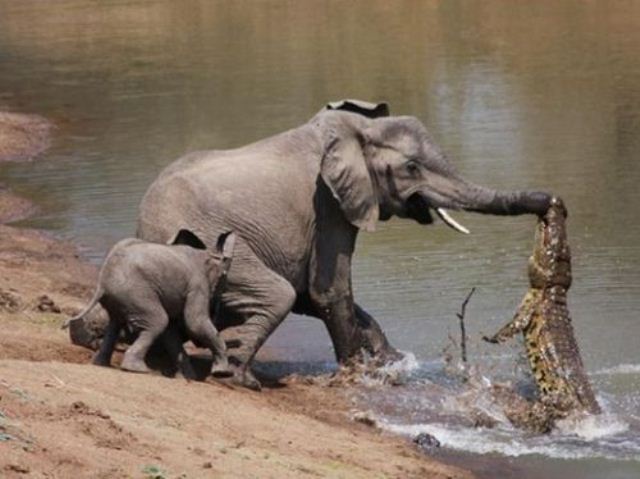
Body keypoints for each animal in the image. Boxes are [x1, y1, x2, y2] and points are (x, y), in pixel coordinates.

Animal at [63, 229, 235, 378]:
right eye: (224, 278)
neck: (209, 254)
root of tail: (102, 282)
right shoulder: (197, 286)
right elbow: (195, 324)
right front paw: (222, 373)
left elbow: (171, 333)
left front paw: (188, 378)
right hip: (136, 292)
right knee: (158, 321)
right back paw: (137, 369)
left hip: (121, 296)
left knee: (116, 323)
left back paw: (101, 364)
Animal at [138, 100, 552, 390]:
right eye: (412, 168)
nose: (550, 201)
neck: (356, 130)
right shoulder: (328, 205)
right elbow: (327, 291)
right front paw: (358, 375)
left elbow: (314, 296)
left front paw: (392, 362)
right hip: (210, 245)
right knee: (277, 294)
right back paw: (240, 378)